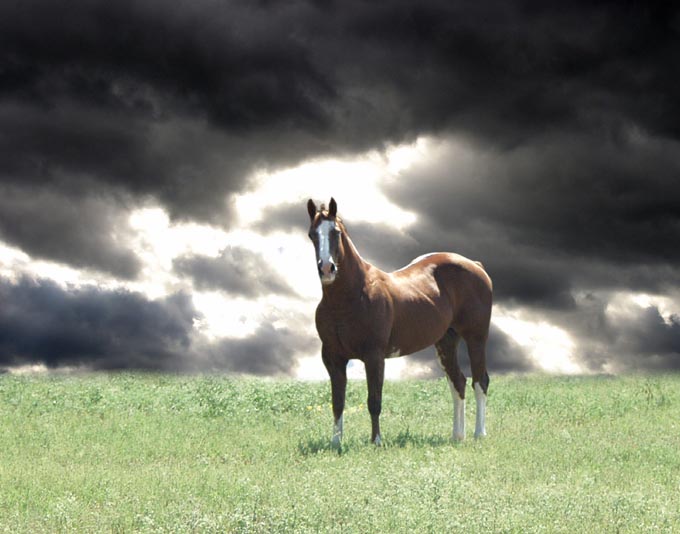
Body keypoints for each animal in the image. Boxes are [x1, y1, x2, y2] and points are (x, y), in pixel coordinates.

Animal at [308, 197, 494, 448]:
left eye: (336, 232)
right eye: (312, 234)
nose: (327, 269)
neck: (350, 298)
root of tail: (476, 265)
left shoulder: (374, 356)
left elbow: (374, 401)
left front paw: (376, 442)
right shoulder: (333, 358)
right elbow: (337, 403)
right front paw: (335, 443)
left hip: (476, 337)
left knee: (480, 381)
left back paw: (479, 434)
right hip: (446, 341)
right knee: (459, 382)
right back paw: (457, 435)